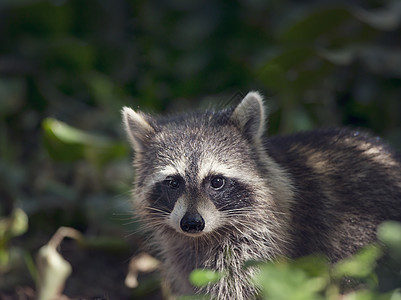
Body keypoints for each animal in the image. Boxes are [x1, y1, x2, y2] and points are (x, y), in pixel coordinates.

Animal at [121, 92, 400, 300]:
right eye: (173, 182)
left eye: (217, 182)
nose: (191, 223)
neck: (206, 237)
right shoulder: (185, 256)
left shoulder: (260, 245)